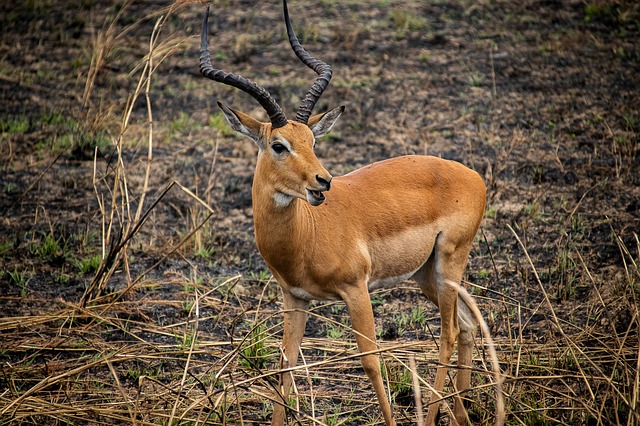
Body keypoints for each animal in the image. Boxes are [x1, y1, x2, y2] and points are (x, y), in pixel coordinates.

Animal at [199, 1, 487, 425]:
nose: (323, 181)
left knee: (449, 334)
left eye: (312, 140)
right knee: (467, 326)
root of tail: (473, 176)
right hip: (426, 274)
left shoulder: (356, 290)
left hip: (450, 260)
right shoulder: (294, 297)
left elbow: (370, 361)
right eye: (279, 145)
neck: (307, 235)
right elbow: (285, 364)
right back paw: (461, 414)